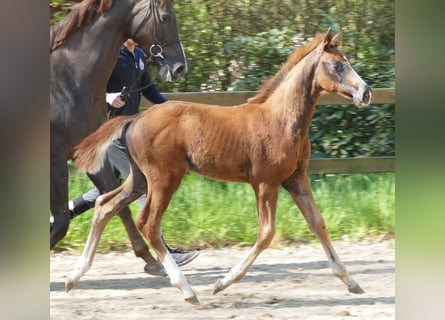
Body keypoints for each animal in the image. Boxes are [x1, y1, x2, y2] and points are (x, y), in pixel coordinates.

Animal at [49, 1, 186, 274]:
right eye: (166, 17)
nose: (180, 67)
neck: (66, 83)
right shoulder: (54, 160)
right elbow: (60, 222)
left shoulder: (88, 155)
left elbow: (116, 206)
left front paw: (150, 258)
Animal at [66, 28, 372, 304]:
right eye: (337, 65)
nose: (366, 92)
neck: (281, 119)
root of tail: (135, 118)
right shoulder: (266, 183)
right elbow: (266, 233)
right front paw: (222, 283)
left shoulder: (296, 179)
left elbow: (318, 223)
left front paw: (351, 282)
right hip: (164, 178)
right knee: (148, 223)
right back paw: (186, 290)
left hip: (140, 178)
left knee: (105, 205)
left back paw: (74, 276)